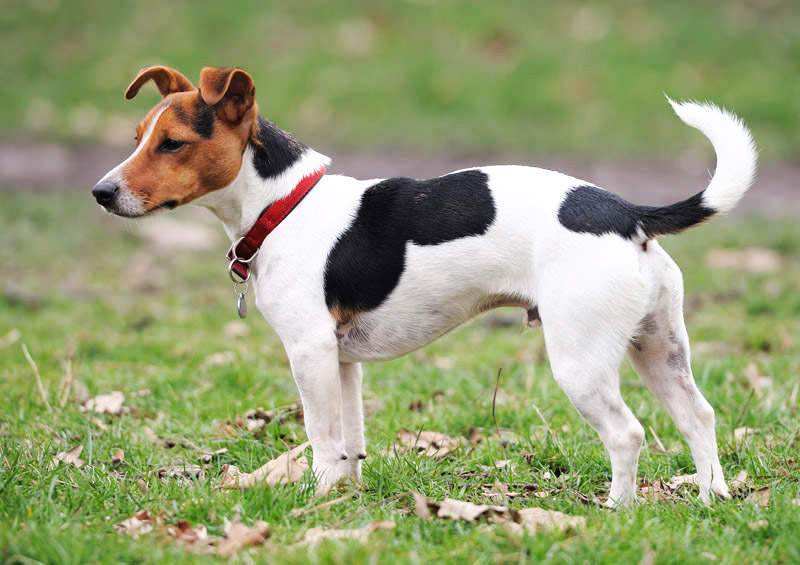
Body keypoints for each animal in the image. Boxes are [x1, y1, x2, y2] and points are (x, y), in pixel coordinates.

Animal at [94, 66, 756, 506]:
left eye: (173, 143)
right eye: (137, 137)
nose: (101, 192)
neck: (283, 205)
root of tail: (627, 212)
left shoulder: (308, 352)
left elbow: (321, 437)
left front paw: (317, 502)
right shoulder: (341, 361)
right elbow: (350, 440)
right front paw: (346, 501)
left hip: (581, 362)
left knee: (627, 433)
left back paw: (617, 511)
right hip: (659, 348)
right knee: (698, 417)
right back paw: (712, 498)